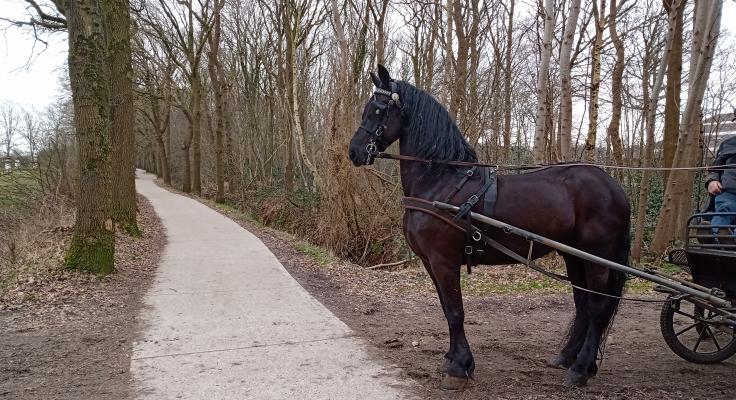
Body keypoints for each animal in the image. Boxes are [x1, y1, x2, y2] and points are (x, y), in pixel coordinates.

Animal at [348, 65, 630, 390]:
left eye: (378, 109)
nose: (354, 152)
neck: (440, 180)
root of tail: (614, 187)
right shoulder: (430, 262)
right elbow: (445, 308)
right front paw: (451, 359)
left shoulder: (444, 260)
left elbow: (455, 311)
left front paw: (460, 368)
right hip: (574, 256)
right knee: (582, 302)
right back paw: (568, 358)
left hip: (597, 257)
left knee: (597, 307)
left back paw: (581, 369)